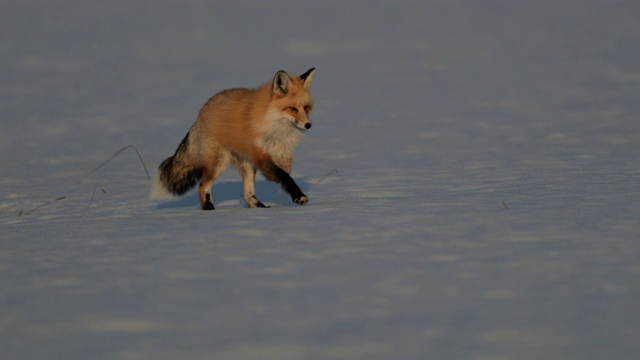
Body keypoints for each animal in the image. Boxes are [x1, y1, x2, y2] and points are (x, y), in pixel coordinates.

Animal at [153, 67, 318, 210]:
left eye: (306, 107)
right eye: (293, 108)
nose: (308, 125)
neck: (275, 126)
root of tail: (200, 114)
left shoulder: (283, 151)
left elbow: (286, 172)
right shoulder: (260, 156)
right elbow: (284, 176)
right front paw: (298, 196)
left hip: (247, 165)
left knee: (248, 194)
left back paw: (259, 207)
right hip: (219, 162)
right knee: (202, 186)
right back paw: (209, 209)